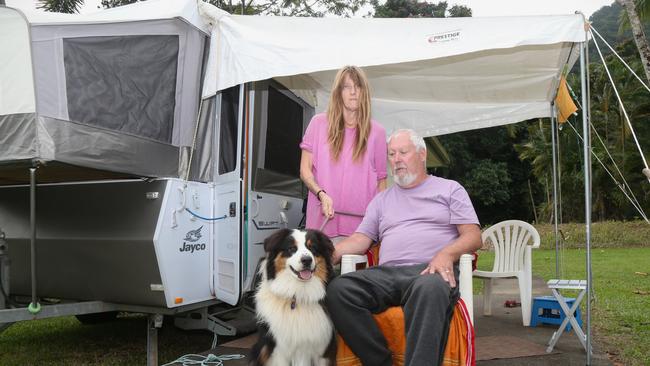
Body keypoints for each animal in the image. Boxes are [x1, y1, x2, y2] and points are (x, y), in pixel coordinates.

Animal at [249, 227, 334, 364]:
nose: (307, 260)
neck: (298, 294)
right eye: (292, 249)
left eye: (313, 248)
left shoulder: (321, 351)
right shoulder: (279, 350)